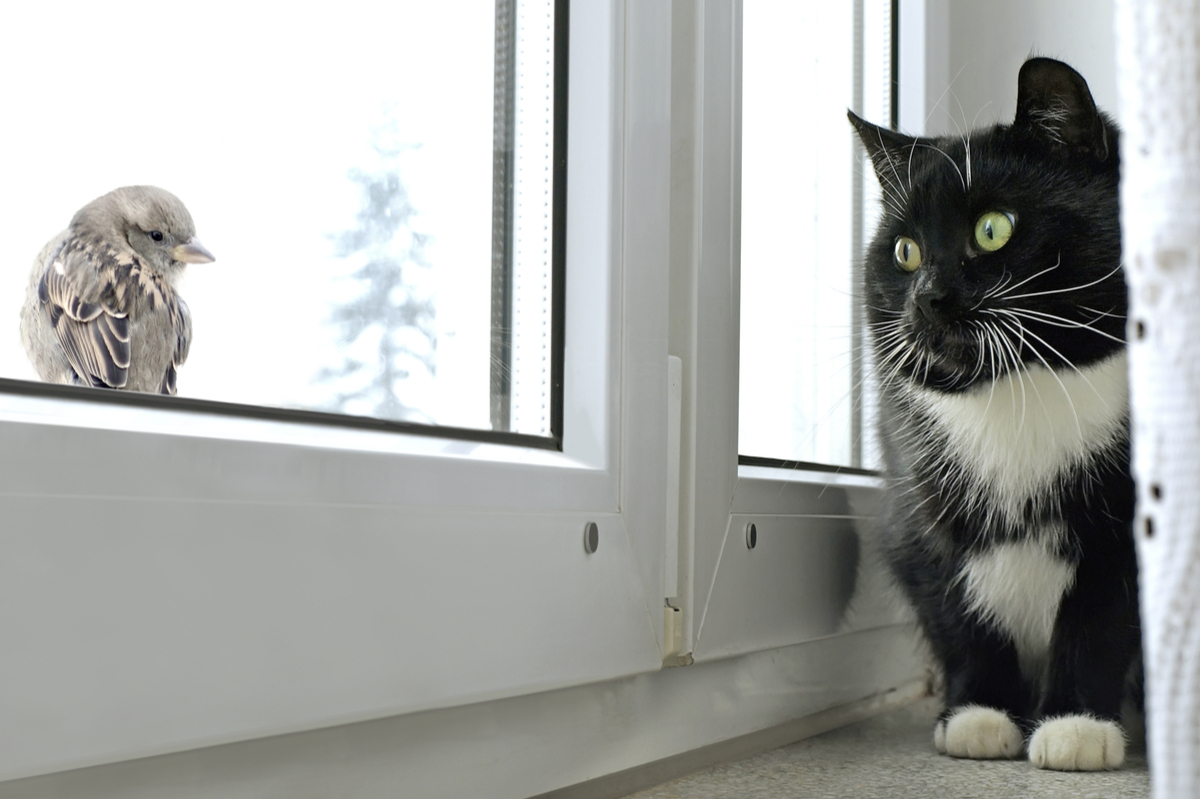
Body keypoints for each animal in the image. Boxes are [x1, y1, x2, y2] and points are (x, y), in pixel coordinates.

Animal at [849, 56, 1137, 767]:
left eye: (993, 228)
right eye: (905, 252)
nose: (927, 297)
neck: (1021, 389)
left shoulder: (1126, 518)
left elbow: (1101, 614)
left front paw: (1076, 725)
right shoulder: (916, 502)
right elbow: (958, 608)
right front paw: (978, 715)